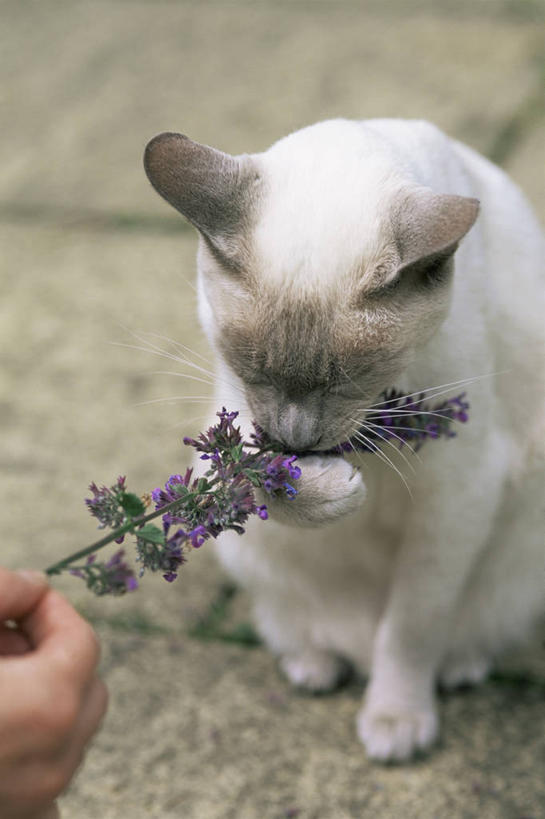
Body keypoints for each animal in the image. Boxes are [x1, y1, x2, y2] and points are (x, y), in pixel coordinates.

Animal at [144, 120, 544, 764]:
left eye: (347, 381)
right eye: (253, 370)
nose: (297, 438)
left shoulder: (458, 498)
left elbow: (411, 629)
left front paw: (395, 721)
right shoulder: (232, 429)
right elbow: (263, 483)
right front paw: (336, 490)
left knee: (443, 633)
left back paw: (454, 667)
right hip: (257, 562)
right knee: (296, 627)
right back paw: (314, 665)